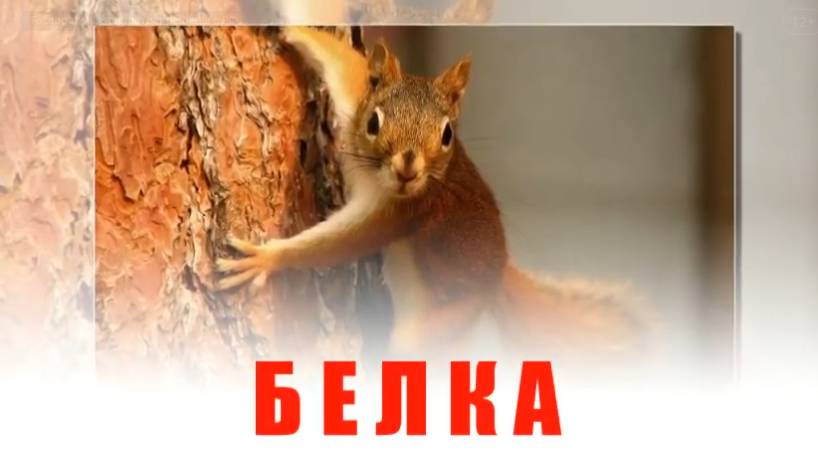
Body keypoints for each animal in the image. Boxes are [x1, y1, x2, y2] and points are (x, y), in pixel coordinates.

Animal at [217, 27, 648, 363]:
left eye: (447, 134)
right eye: (374, 122)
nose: (408, 170)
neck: (376, 176)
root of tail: (497, 278)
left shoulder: (404, 212)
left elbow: (340, 243)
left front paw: (268, 258)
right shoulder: (355, 99)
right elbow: (341, 60)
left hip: (442, 322)